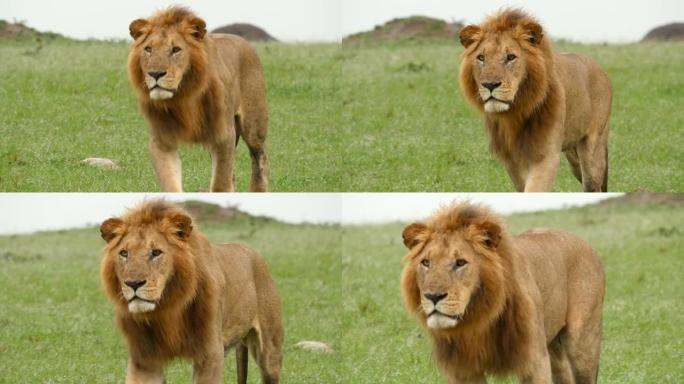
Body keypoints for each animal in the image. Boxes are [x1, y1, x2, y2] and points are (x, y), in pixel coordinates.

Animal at [99, 201, 284, 384]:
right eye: (124, 253)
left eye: (156, 252)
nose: (133, 283)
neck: (168, 307)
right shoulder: (145, 359)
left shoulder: (211, 353)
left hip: (270, 352)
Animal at [128, 6, 268, 192]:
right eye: (148, 49)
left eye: (176, 49)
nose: (155, 74)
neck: (184, 96)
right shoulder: (161, 141)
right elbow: (171, 184)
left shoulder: (224, 136)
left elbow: (220, 184)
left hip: (253, 127)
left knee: (259, 160)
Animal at [400, 202, 604, 382]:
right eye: (426, 262)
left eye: (460, 262)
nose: (433, 297)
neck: (479, 318)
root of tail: (584, 243)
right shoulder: (462, 370)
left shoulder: (535, 361)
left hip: (583, 343)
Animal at [456, 9, 612, 192]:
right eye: (481, 58)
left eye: (510, 57)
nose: (490, 85)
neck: (515, 113)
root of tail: (600, 68)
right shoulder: (511, 159)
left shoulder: (546, 155)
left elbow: (535, 188)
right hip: (573, 154)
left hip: (592, 148)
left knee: (593, 183)